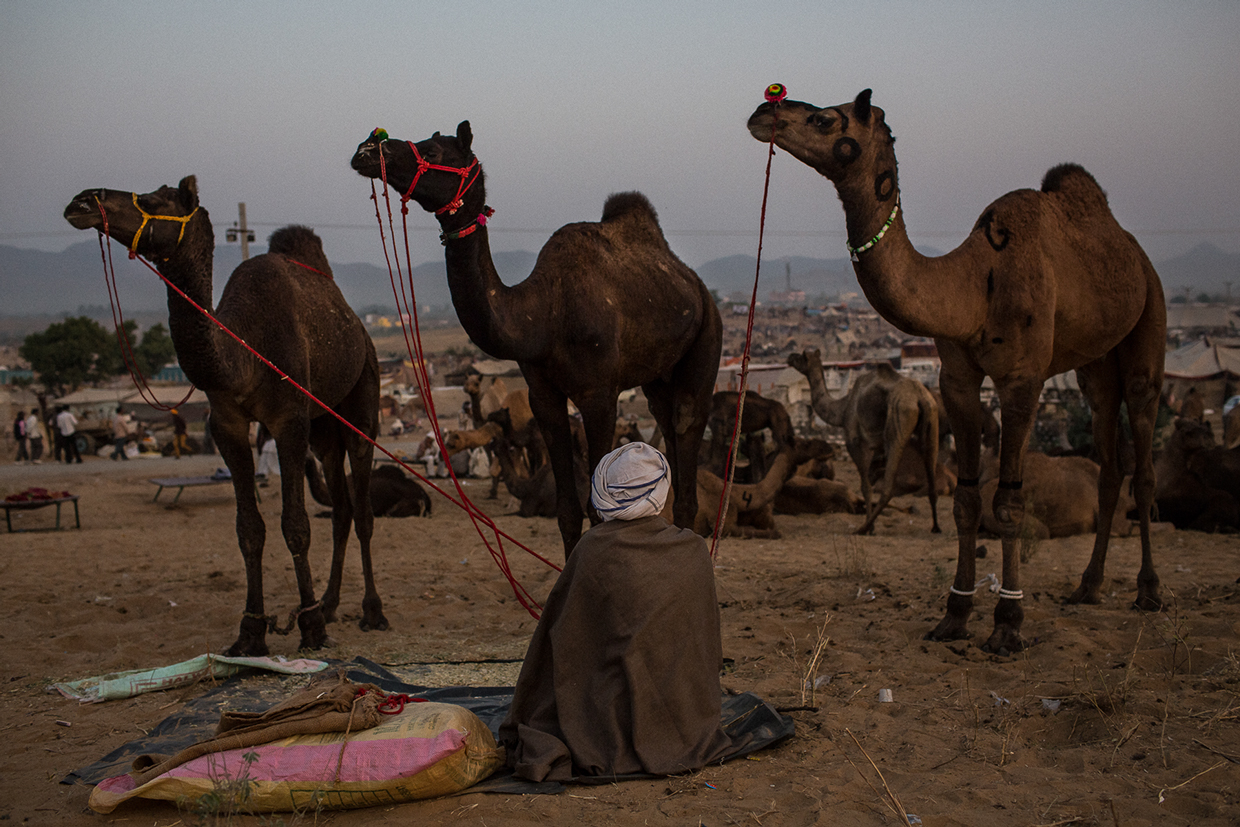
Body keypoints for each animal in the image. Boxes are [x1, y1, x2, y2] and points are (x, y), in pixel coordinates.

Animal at [61, 178, 381, 654]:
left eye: (153, 199)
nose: (82, 202)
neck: (243, 350)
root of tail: (358, 327)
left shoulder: (289, 421)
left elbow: (295, 525)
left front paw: (309, 628)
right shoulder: (226, 425)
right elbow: (249, 529)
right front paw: (251, 633)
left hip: (361, 396)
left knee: (362, 508)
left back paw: (371, 612)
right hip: (324, 429)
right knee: (340, 509)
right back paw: (329, 604)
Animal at [349, 121, 724, 555]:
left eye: (434, 151)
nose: (368, 148)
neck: (544, 313)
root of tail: (696, 287)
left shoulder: (599, 395)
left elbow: (598, 509)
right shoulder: (543, 396)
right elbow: (566, 511)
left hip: (707, 340)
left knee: (687, 426)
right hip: (657, 378)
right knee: (667, 424)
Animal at [783, 352, 937, 538]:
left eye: (803, 356)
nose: (790, 357)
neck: (842, 408)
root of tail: (919, 397)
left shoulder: (856, 442)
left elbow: (865, 486)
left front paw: (871, 528)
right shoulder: (877, 448)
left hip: (899, 419)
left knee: (888, 485)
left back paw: (862, 529)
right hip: (932, 420)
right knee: (931, 474)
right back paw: (936, 527)